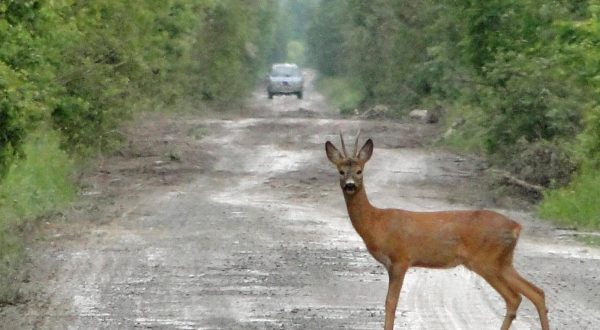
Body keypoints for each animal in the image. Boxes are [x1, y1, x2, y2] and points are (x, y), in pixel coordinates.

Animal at [324, 132, 548, 330]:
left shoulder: (400, 259)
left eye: (359, 171)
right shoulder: (393, 264)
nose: (350, 185)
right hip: (504, 261)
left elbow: (390, 303)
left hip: (486, 261)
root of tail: (516, 227)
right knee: (536, 292)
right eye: (341, 171)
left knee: (514, 297)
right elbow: (389, 302)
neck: (377, 223)